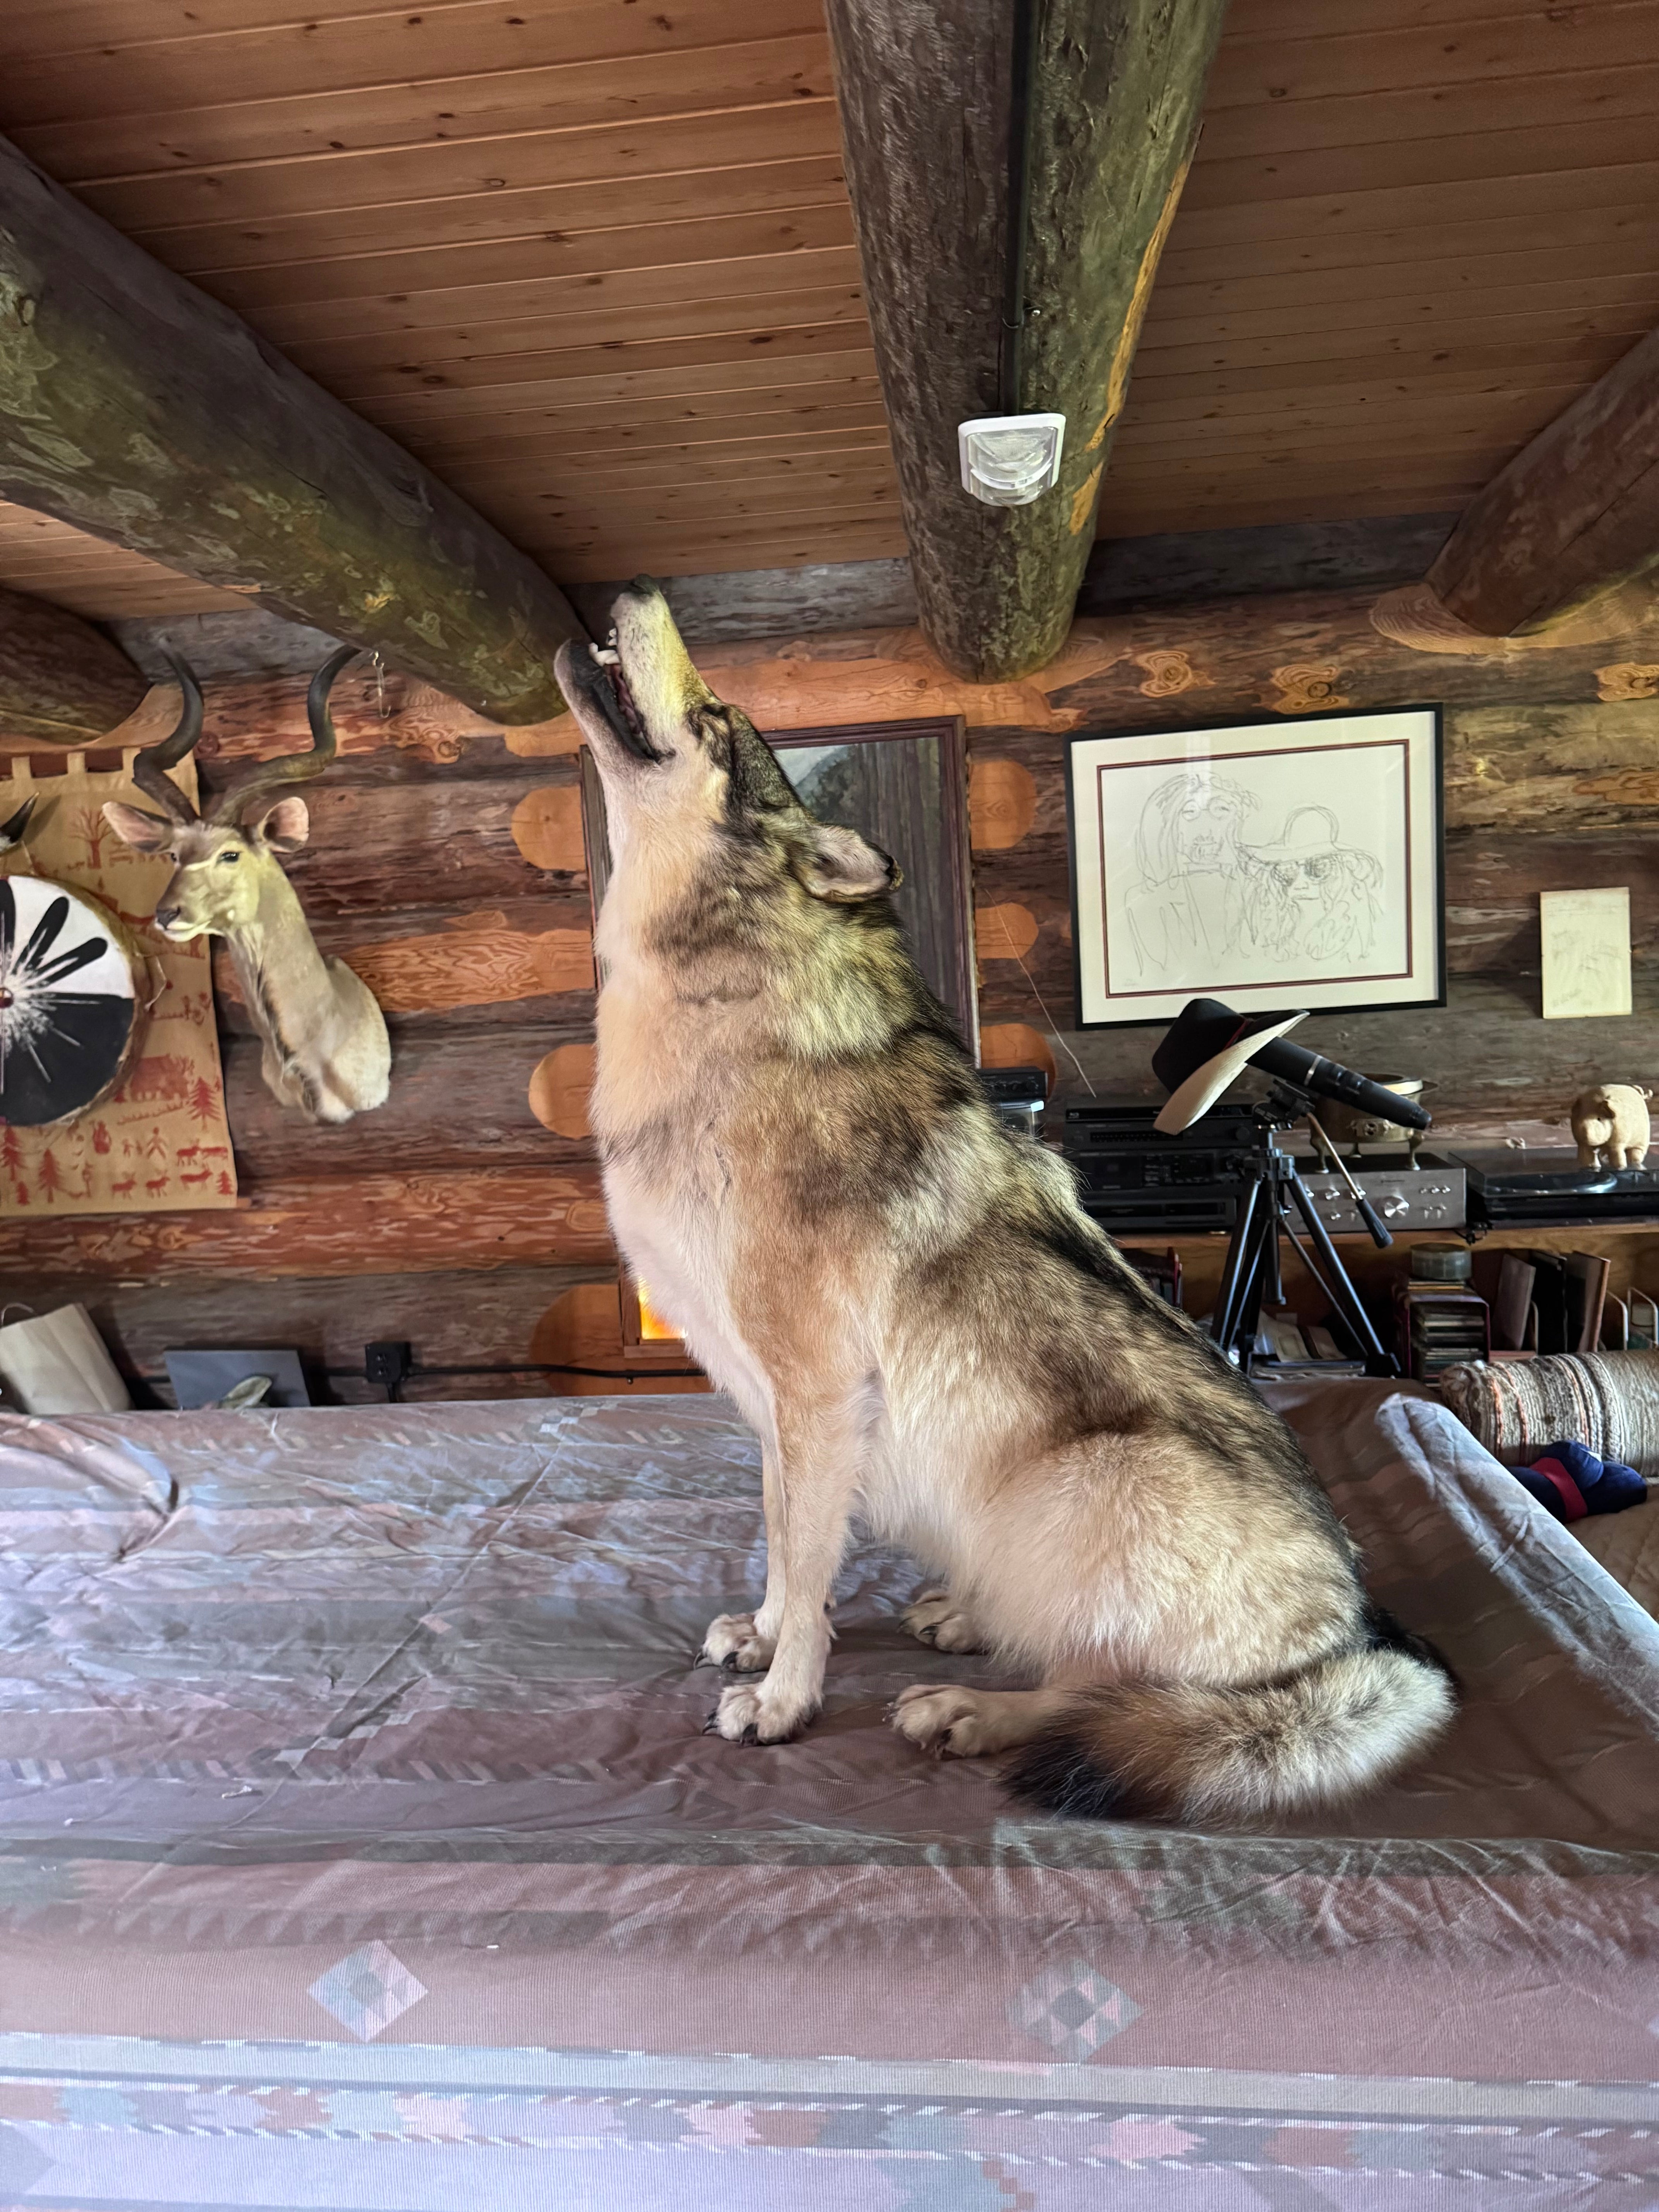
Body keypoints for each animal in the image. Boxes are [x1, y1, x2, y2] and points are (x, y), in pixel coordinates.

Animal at [554, 583, 1455, 1826]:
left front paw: (784, 1702)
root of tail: (1357, 1646)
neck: (716, 1014)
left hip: (1084, 1486)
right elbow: (782, 1545)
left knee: (1094, 1691)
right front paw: (768, 1639)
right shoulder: (768, 1407)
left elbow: (808, 1557)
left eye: (720, 722)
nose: (638, 592)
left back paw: (968, 1711)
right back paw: (960, 1620)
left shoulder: (817, 1394)